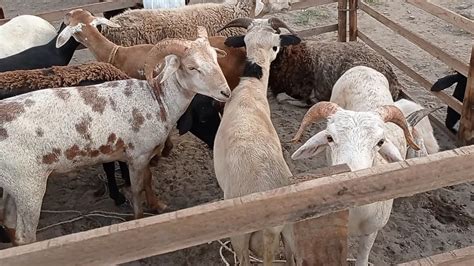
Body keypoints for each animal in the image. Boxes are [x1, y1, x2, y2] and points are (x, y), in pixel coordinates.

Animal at [0, 27, 231, 245]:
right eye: (192, 67)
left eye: (215, 57)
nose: (226, 92)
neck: (157, 100)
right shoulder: (137, 155)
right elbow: (137, 189)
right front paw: (139, 218)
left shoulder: (144, 153)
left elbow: (148, 180)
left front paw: (157, 205)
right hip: (29, 186)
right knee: (25, 236)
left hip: (13, 184)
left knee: (9, 222)